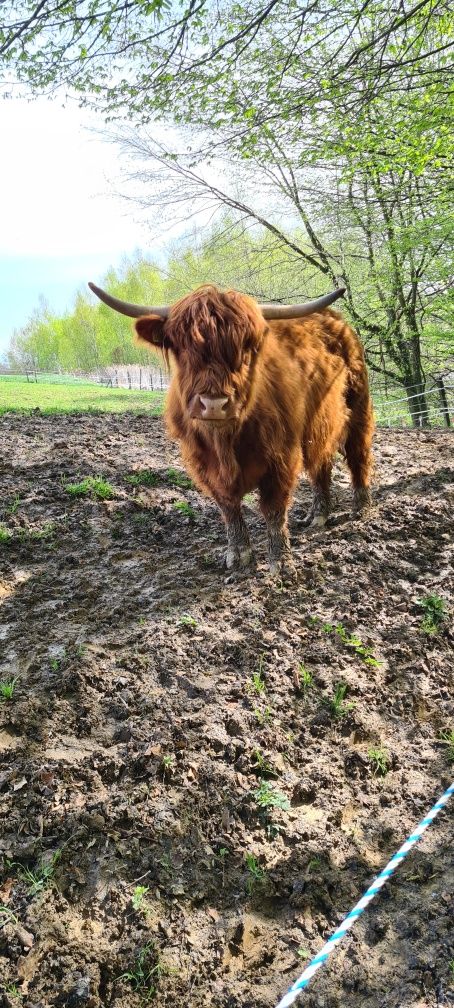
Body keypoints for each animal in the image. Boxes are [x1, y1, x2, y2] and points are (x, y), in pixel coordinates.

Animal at [87, 280, 373, 576]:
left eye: (245, 348)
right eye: (182, 348)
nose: (214, 404)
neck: (225, 443)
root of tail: (335, 319)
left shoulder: (282, 457)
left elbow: (274, 508)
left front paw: (281, 562)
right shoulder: (203, 464)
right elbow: (229, 509)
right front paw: (238, 555)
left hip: (358, 409)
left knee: (358, 455)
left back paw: (361, 508)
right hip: (320, 427)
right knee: (322, 465)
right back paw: (318, 515)